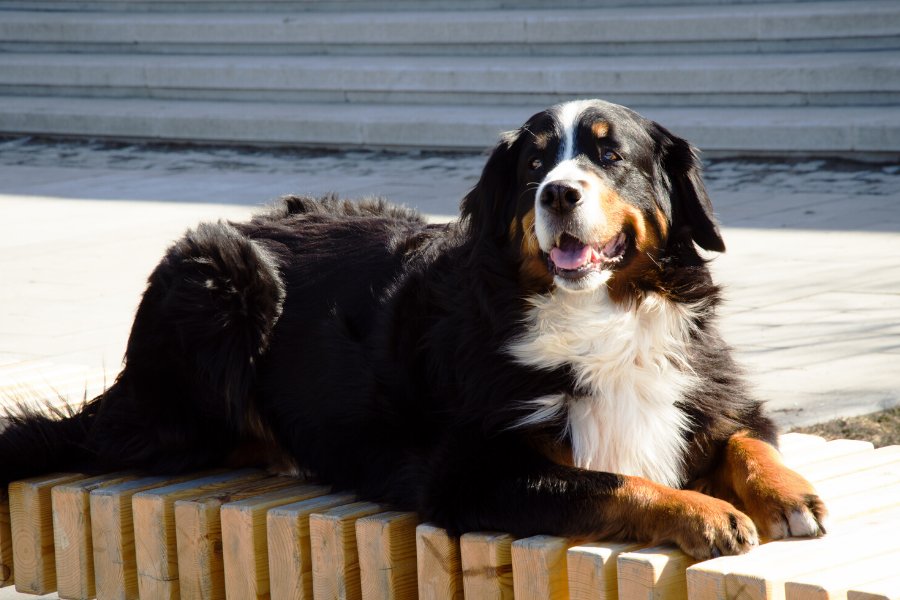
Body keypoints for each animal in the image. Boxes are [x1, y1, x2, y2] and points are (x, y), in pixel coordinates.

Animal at [1, 99, 828, 556]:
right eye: (534, 168)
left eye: (609, 153)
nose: (558, 194)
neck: (601, 314)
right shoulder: (470, 470)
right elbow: (614, 479)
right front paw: (704, 512)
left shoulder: (709, 391)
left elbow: (749, 439)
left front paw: (790, 495)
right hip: (221, 281)